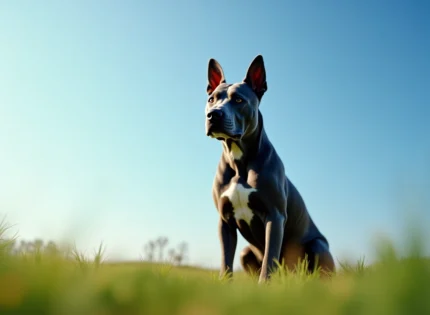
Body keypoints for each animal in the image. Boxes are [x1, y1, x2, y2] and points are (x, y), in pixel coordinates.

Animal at [205, 54, 336, 284]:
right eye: (211, 98)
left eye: (238, 100)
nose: (213, 115)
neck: (238, 161)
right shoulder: (225, 221)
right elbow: (225, 259)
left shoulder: (274, 216)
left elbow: (270, 256)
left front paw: (264, 286)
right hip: (246, 252)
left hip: (318, 246)